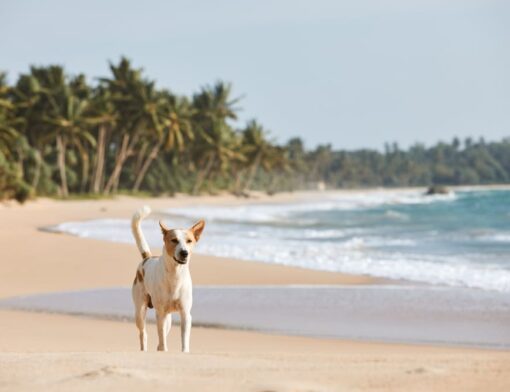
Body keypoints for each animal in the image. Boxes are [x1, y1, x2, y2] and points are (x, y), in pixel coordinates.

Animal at [130, 205, 204, 352]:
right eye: (174, 240)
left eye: (189, 241)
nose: (184, 253)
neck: (175, 275)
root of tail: (147, 258)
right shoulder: (160, 313)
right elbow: (161, 336)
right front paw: (164, 349)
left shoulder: (185, 313)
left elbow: (184, 338)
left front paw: (184, 352)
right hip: (140, 311)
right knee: (143, 333)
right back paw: (144, 349)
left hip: (168, 318)